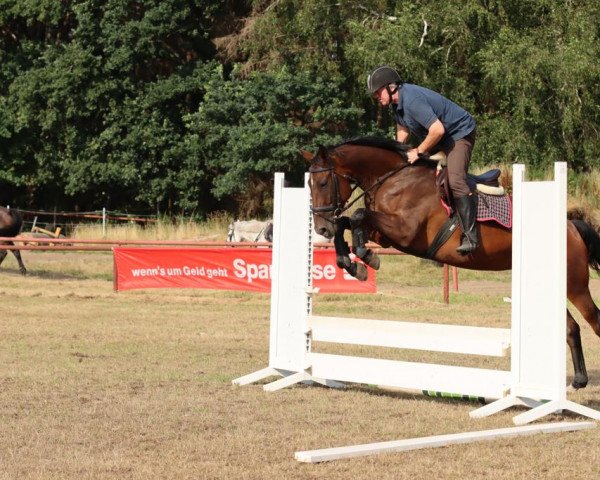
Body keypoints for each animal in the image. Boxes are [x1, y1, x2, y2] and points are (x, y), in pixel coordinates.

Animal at [304, 136, 600, 390]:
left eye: (323, 183)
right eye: (309, 185)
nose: (321, 228)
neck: (394, 178)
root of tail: (572, 226)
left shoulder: (405, 232)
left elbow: (357, 215)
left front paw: (365, 258)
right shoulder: (386, 236)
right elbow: (350, 221)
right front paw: (351, 262)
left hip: (574, 286)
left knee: (593, 320)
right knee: (571, 328)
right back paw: (579, 381)